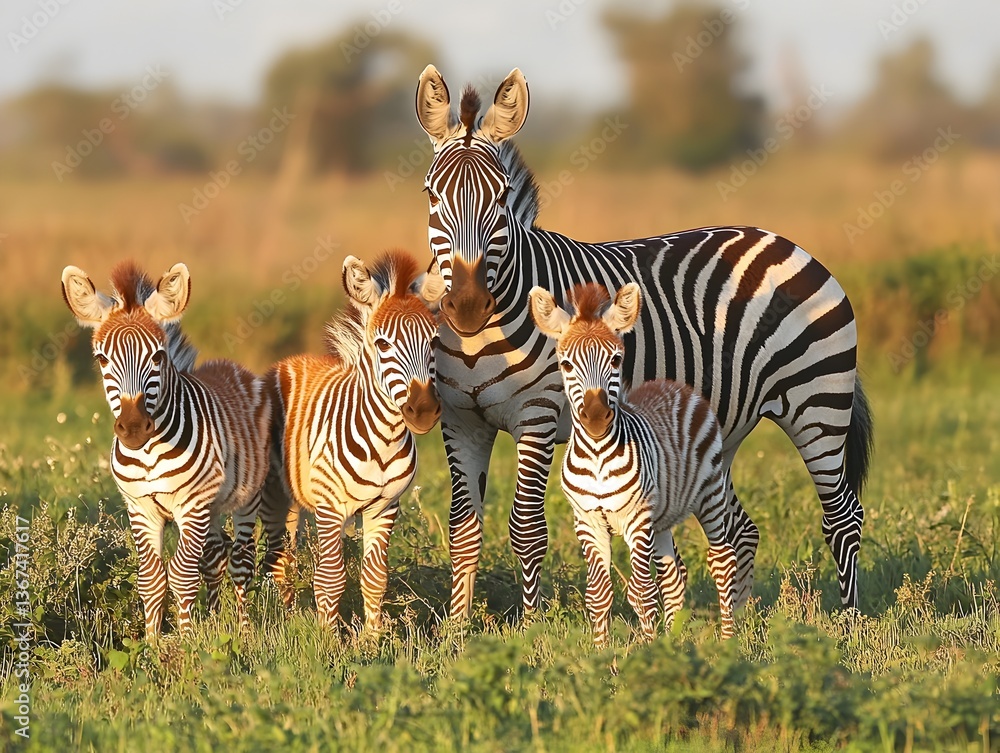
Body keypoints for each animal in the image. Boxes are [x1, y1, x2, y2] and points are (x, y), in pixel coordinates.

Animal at [61, 261, 271, 638]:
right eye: (101, 360)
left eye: (158, 356)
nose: (132, 428)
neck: (147, 455)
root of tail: (230, 365)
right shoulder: (141, 507)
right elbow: (152, 580)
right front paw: (153, 642)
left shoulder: (191, 504)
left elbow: (182, 576)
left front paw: (186, 644)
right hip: (211, 507)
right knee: (215, 557)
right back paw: (214, 620)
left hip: (246, 499)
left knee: (241, 562)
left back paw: (244, 632)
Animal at [260, 250, 444, 629]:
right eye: (382, 344)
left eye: (435, 341)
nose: (423, 411)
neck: (384, 440)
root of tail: (292, 360)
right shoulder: (331, 508)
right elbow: (330, 578)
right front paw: (328, 637)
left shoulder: (385, 507)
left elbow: (375, 578)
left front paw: (372, 637)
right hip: (273, 494)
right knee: (278, 559)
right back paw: (282, 618)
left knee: (288, 555)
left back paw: (289, 615)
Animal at [530, 282, 736, 646]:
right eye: (566, 365)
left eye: (616, 359)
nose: (596, 418)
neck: (597, 457)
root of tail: (674, 385)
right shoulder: (588, 521)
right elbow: (598, 593)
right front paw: (603, 650)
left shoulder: (636, 519)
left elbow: (642, 592)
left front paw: (648, 649)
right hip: (663, 516)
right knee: (674, 575)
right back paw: (673, 638)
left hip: (711, 493)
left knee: (723, 561)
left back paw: (728, 640)